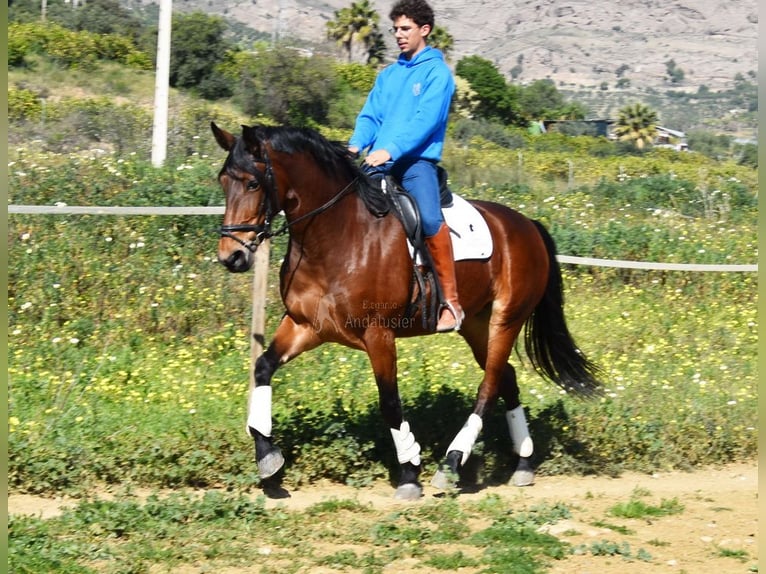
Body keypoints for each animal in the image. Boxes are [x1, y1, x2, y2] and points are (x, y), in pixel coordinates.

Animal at [213, 124, 604, 502]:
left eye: (252, 183)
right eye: (223, 181)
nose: (231, 256)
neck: (335, 235)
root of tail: (528, 224)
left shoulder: (378, 335)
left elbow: (389, 401)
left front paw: (410, 472)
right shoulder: (305, 325)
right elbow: (262, 368)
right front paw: (267, 458)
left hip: (505, 320)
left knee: (489, 386)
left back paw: (451, 464)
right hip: (477, 326)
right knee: (505, 377)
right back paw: (522, 463)